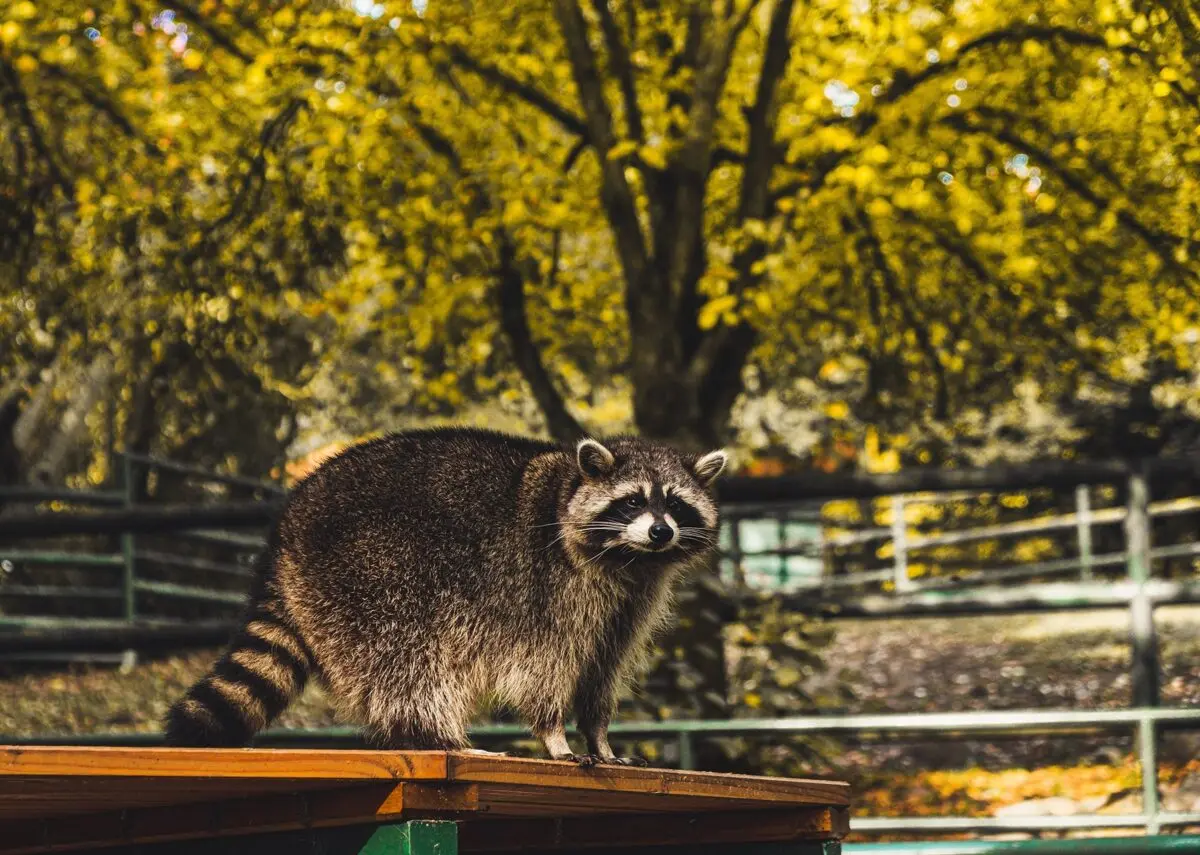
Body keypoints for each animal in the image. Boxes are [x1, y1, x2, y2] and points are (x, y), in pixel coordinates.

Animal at [164, 427, 727, 765]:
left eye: (676, 505)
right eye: (632, 501)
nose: (660, 531)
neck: (629, 558)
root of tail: (285, 528)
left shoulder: (628, 605)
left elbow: (602, 670)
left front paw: (600, 734)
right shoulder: (549, 589)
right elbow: (542, 668)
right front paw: (554, 733)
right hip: (369, 572)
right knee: (406, 662)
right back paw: (439, 737)